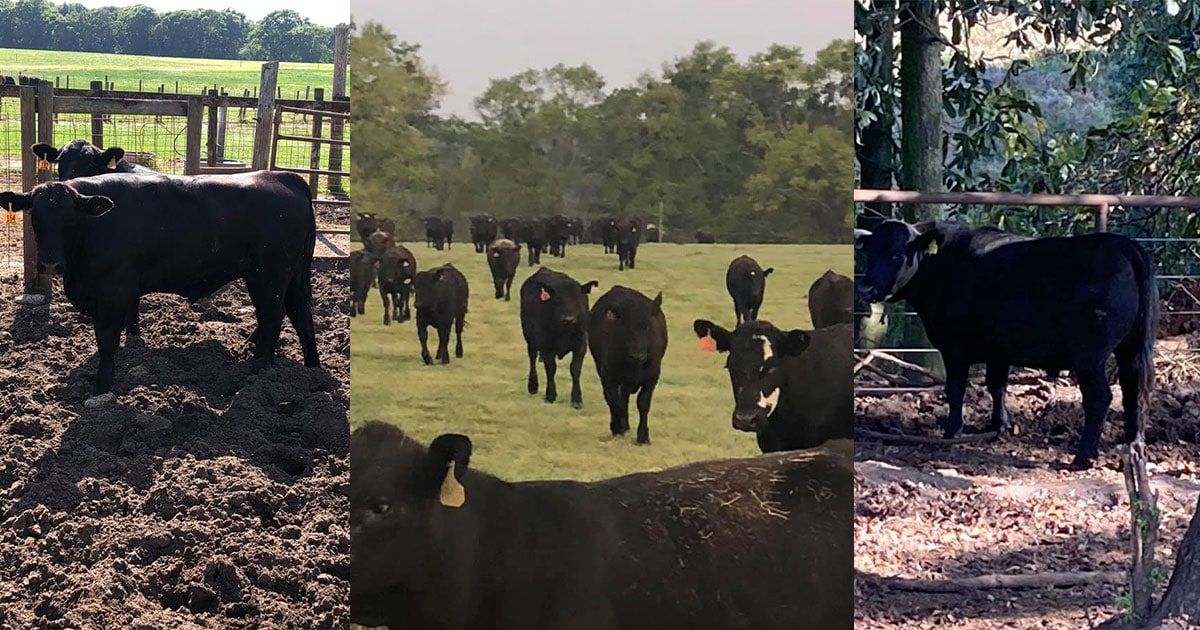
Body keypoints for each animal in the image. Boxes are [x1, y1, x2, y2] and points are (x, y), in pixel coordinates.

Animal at [0, 172, 320, 402]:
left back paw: (259, 370)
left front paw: (101, 386)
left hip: (269, 277)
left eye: (70, 218)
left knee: (273, 317)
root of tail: (282, 176)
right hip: (289, 278)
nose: (50, 264)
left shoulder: (113, 295)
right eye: (35, 215)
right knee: (300, 315)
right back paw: (312, 370)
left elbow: (107, 342)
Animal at [520, 268, 599, 408]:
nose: (569, 319)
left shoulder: (581, 343)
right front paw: (550, 395)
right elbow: (551, 369)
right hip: (529, 336)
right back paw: (533, 386)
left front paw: (576, 399)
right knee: (532, 358)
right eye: (557, 299)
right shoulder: (546, 345)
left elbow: (575, 369)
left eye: (577, 298)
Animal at [589, 286, 668, 444]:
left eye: (648, 326)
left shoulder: (652, 376)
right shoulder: (608, 375)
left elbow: (643, 403)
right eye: (626, 327)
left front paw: (643, 437)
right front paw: (618, 428)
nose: (639, 355)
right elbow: (615, 402)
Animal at [855, 220, 1158, 470]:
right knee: (1135, 391)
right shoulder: (998, 350)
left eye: (897, 255)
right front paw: (998, 426)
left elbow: (955, 388)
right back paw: (1132, 445)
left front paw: (953, 430)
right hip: (1131, 348)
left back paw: (1082, 458)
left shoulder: (954, 347)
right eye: (869, 254)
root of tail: (1122, 244)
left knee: (1100, 398)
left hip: (1089, 355)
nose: (866, 289)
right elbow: (997, 385)